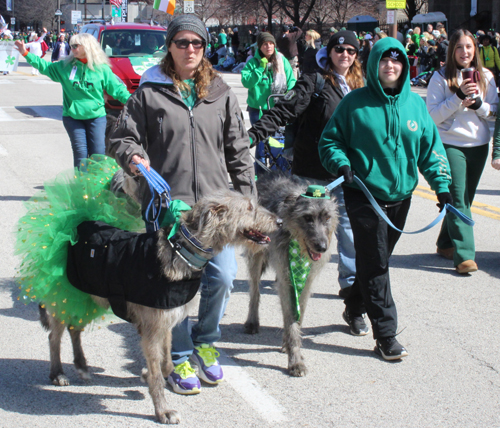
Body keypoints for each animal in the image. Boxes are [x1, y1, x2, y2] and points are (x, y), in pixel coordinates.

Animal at [39, 191, 282, 424]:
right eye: (249, 208)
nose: (279, 221)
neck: (182, 251)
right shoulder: (153, 327)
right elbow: (158, 371)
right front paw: (163, 410)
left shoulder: (166, 321)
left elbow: (165, 364)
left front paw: (149, 374)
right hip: (67, 295)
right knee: (54, 336)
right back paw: (57, 373)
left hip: (86, 297)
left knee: (74, 329)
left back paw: (81, 366)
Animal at [244, 172, 338, 376]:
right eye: (307, 217)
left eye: (327, 217)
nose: (322, 247)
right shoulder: (286, 279)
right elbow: (290, 318)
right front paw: (295, 360)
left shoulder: (306, 281)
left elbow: (298, 315)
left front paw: (289, 345)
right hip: (256, 253)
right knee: (254, 291)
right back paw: (252, 321)